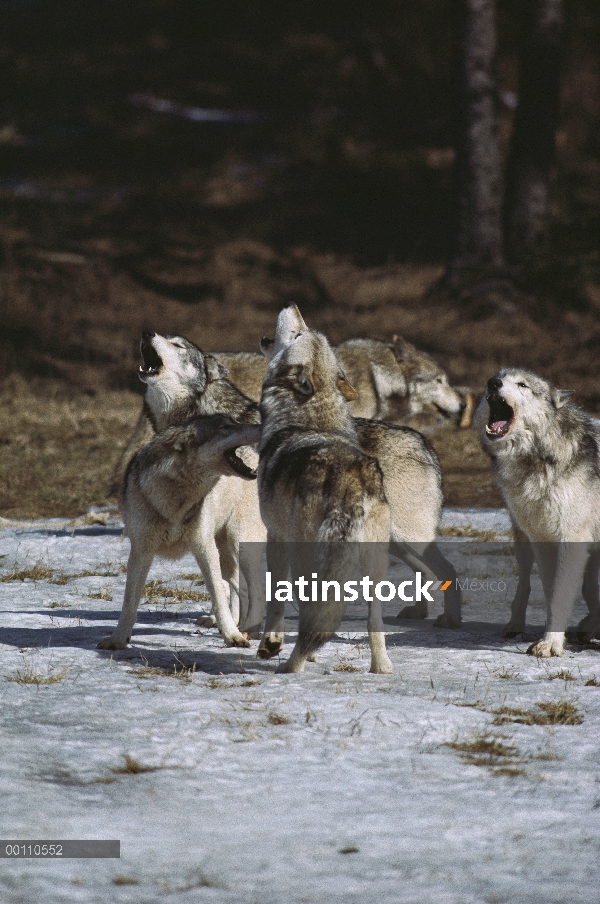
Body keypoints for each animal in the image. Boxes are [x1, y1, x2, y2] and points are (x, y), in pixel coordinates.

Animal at [98, 414, 262, 652]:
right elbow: (129, 602)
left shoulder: (204, 547)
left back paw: (250, 630)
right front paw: (118, 640)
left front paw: (233, 636)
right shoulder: (140, 551)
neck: (176, 499)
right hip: (226, 552)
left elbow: (218, 597)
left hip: (239, 543)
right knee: (238, 587)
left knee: (254, 588)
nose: (261, 426)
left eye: (234, 422)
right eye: (226, 427)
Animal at [256, 308, 394, 676]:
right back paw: (382, 669)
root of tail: (353, 480)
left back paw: (291, 666)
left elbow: (276, 600)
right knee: (370, 621)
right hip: (374, 566)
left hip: (309, 556)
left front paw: (270, 644)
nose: (294, 306)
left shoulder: (275, 537)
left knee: (311, 613)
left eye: (297, 334)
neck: (310, 417)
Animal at [476, 368, 600, 656]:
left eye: (522, 385)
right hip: (524, 539)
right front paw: (552, 642)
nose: (493, 383)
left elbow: (563, 593)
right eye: (499, 377)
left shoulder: (573, 540)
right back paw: (516, 624)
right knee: (525, 584)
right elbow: (553, 594)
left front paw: (552, 642)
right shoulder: (545, 541)